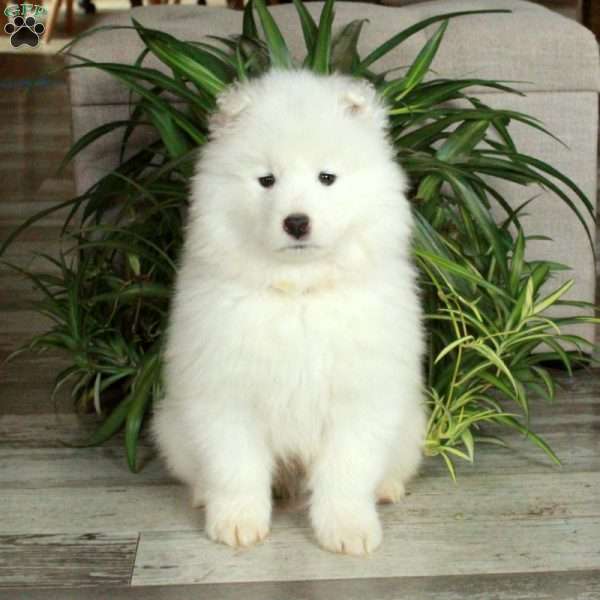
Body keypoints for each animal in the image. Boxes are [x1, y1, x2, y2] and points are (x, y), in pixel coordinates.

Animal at [155, 68, 426, 556]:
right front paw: (237, 523)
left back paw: (387, 488)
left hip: (411, 424)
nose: (296, 222)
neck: (298, 290)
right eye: (267, 180)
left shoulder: (358, 397)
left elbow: (346, 472)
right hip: (171, 426)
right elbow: (236, 466)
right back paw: (207, 496)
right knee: (201, 470)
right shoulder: (228, 392)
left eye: (326, 177)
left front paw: (348, 529)